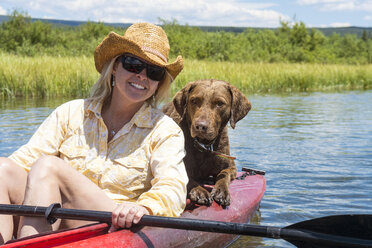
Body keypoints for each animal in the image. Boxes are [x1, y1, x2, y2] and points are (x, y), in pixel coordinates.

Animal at [164, 79, 251, 207]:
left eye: (220, 103)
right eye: (194, 100)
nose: (200, 126)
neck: (204, 146)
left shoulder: (231, 166)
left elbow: (223, 175)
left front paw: (221, 192)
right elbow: (188, 179)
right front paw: (200, 191)